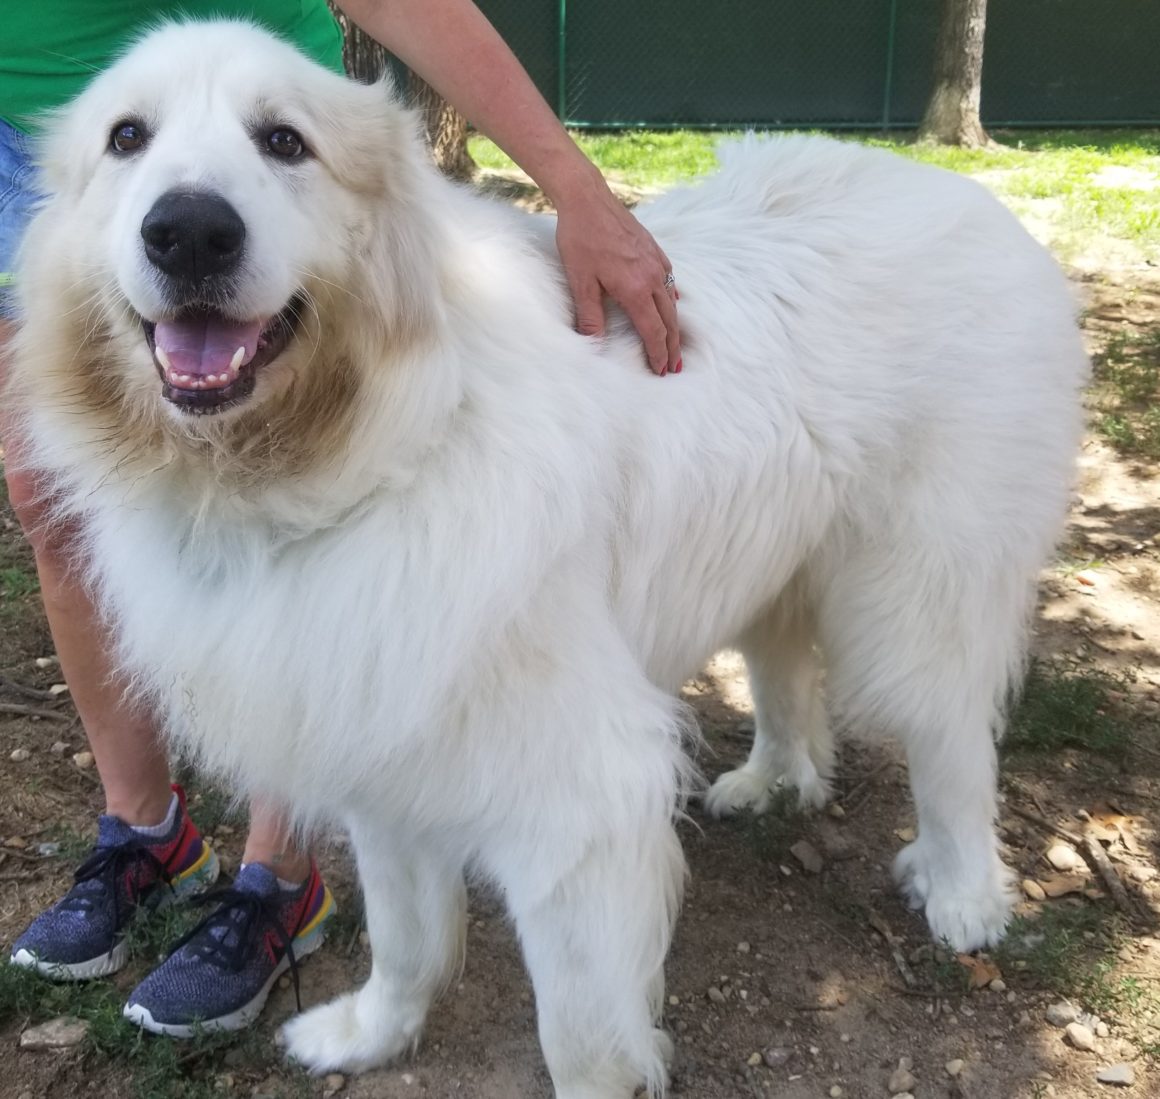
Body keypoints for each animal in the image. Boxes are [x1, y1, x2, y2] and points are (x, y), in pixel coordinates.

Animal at [9, 17, 1085, 1099]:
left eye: (283, 141)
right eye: (127, 138)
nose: (189, 231)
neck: (367, 450)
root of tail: (959, 193)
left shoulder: (579, 801)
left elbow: (579, 1032)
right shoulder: (377, 736)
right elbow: (404, 938)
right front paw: (370, 1034)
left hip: (920, 592)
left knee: (951, 744)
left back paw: (962, 895)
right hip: (768, 551)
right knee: (785, 670)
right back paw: (772, 780)